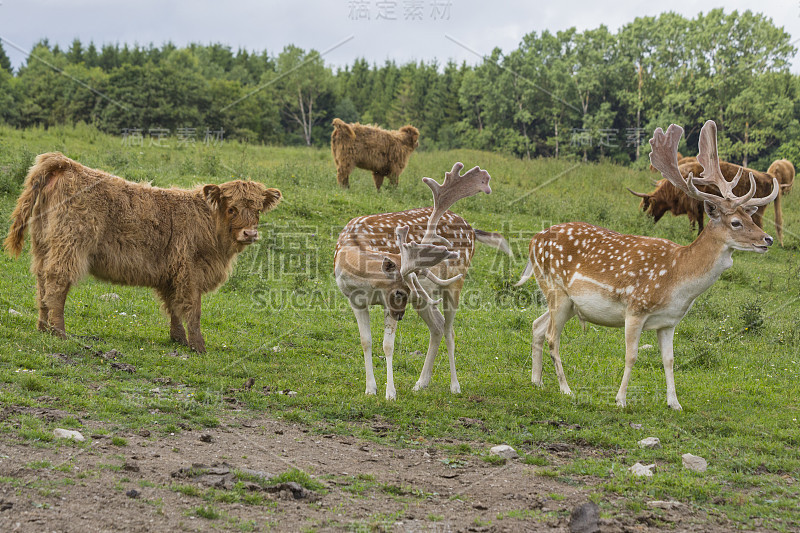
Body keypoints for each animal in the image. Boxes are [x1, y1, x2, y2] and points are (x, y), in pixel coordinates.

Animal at [3, 153, 282, 354]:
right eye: (232, 208)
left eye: (258, 209)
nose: (250, 233)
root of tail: (65, 163)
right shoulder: (190, 272)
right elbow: (192, 310)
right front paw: (198, 346)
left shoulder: (172, 273)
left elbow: (174, 307)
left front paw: (178, 339)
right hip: (69, 245)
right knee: (57, 283)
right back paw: (59, 332)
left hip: (43, 245)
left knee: (41, 283)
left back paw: (43, 328)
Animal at [332, 162, 510, 400]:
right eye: (400, 292)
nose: (400, 316)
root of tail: (472, 229)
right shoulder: (355, 300)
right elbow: (365, 341)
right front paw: (370, 389)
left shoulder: (389, 304)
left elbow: (387, 345)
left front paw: (390, 392)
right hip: (425, 298)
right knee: (437, 326)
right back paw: (421, 383)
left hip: (455, 282)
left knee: (449, 330)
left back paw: (455, 386)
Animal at [516, 121, 780, 412]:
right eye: (735, 222)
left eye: (751, 217)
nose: (767, 239)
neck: (677, 280)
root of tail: (533, 241)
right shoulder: (635, 308)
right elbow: (631, 356)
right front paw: (620, 399)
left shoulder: (668, 322)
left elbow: (669, 360)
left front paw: (675, 403)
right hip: (556, 289)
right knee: (552, 336)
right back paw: (566, 389)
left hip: (568, 302)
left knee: (537, 326)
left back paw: (537, 381)